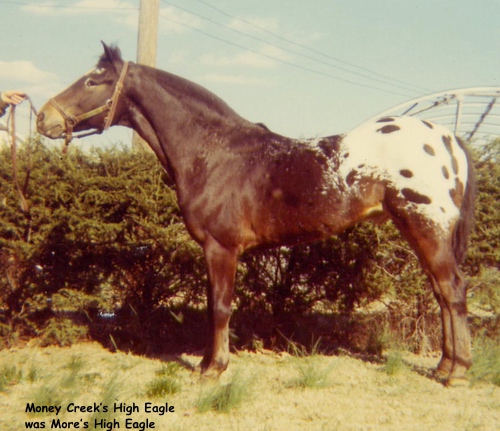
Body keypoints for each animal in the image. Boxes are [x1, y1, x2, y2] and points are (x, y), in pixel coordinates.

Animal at [37, 42, 474, 384]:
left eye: (92, 81)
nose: (44, 117)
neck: (214, 152)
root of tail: (447, 138)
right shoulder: (214, 250)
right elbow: (214, 305)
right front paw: (208, 363)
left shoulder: (221, 248)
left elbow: (220, 307)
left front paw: (213, 369)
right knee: (442, 292)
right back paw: (443, 366)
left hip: (426, 227)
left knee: (451, 289)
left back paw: (455, 371)